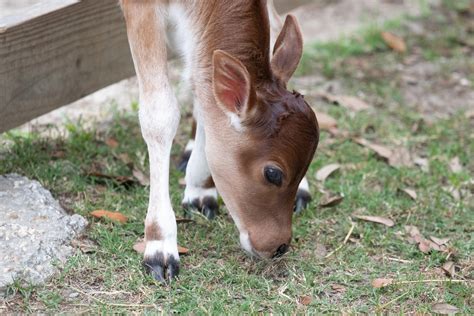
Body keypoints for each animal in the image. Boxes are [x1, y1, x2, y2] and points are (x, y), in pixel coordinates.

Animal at [119, 0, 318, 282]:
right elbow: (160, 114)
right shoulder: (140, 6)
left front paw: (200, 191)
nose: (279, 246)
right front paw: (160, 247)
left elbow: (203, 84)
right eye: (273, 173)